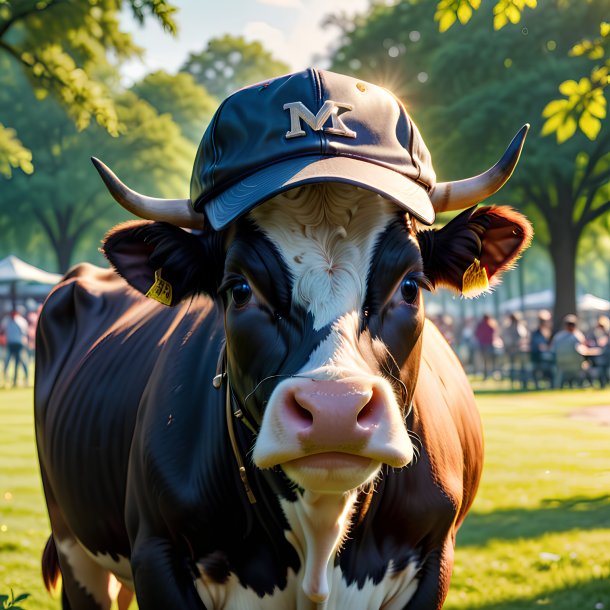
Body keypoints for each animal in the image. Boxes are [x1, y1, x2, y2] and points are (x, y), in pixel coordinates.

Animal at [35, 67, 528, 608]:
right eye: (239, 290)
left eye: (411, 286)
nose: (335, 411)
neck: (320, 529)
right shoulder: (156, 553)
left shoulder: (434, 554)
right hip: (73, 542)